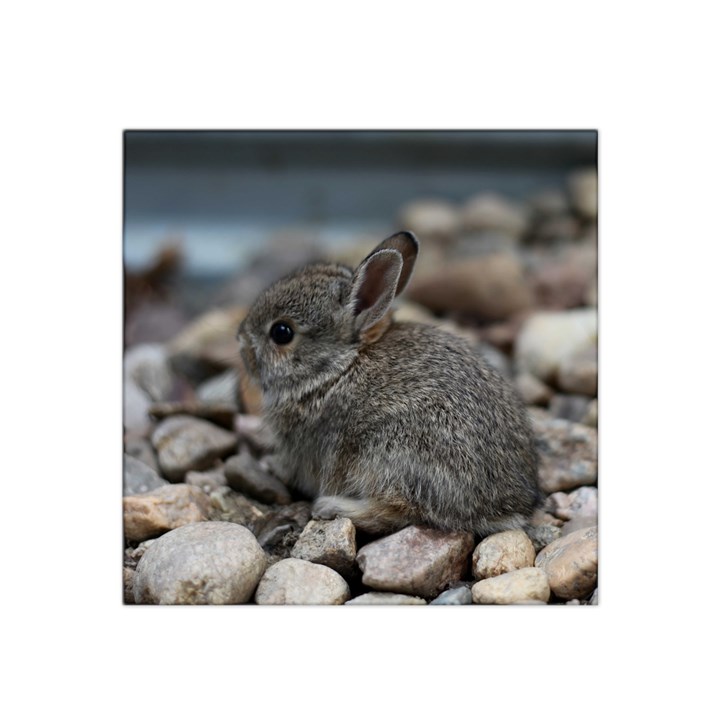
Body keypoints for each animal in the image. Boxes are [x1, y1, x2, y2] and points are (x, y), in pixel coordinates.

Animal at [236, 231, 540, 536]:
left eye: (281, 332)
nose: (240, 340)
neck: (335, 368)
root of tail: (504, 508)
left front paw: (269, 464)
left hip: (389, 451)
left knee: (396, 511)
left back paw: (330, 506)